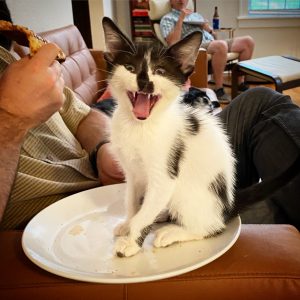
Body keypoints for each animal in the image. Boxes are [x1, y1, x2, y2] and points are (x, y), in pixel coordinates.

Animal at [102, 17, 298, 258]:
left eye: (160, 71)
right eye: (130, 68)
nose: (145, 82)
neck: (139, 126)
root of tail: (227, 206)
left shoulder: (164, 175)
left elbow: (145, 211)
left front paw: (132, 241)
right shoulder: (132, 173)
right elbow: (132, 201)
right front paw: (129, 223)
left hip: (188, 194)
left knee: (210, 228)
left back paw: (173, 232)